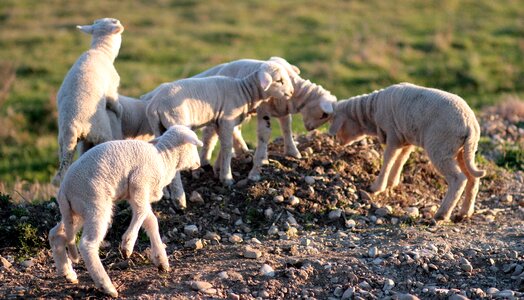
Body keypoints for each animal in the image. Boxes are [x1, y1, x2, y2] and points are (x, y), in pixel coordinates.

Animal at [48, 125, 203, 298]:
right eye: (193, 146)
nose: (199, 163)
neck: (163, 159)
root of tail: (64, 190)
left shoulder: (137, 194)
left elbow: (150, 220)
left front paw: (161, 260)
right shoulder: (139, 183)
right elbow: (142, 212)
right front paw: (127, 245)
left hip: (76, 211)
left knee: (56, 234)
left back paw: (67, 273)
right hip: (96, 205)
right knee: (87, 244)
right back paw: (106, 286)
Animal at [52, 17, 125, 186]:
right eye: (115, 22)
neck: (100, 50)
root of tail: (72, 126)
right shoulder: (112, 89)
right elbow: (116, 105)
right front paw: (119, 113)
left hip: (63, 143)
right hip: (101, 132)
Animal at [146, 62, 294, 210]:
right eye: (279, 80)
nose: (291, 92)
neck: (244, 91)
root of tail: (155, 106)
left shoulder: (220, 122)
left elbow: (224, 145)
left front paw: (218, 170)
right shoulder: (227, 119)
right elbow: (227, 147)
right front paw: (227, 178)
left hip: (158, 127)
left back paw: (165, 193)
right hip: (176, 120)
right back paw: (179, 200)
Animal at [192, 57, 336, 182]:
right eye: (324, 115)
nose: (310, 128)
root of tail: (219, 69)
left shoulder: (283, 110)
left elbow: (287, 129)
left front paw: (293, 152)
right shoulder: (263, 110)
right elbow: (264, 134)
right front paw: (259, 165)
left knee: (233, 130)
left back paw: (241, 152)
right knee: (209, 135)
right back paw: (206, 162)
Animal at [328, 82, 488, 223]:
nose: (338, 141)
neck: (372, 110)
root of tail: (469, 124)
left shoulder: (393, 134)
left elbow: (388, 159)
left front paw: (376, 188)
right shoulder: (405, 139)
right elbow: (401, 159)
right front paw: (392, 183)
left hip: (440, 147)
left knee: (458, 179)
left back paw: (441, 215)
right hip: (464, 149)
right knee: (473, 178)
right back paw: (464, 213)